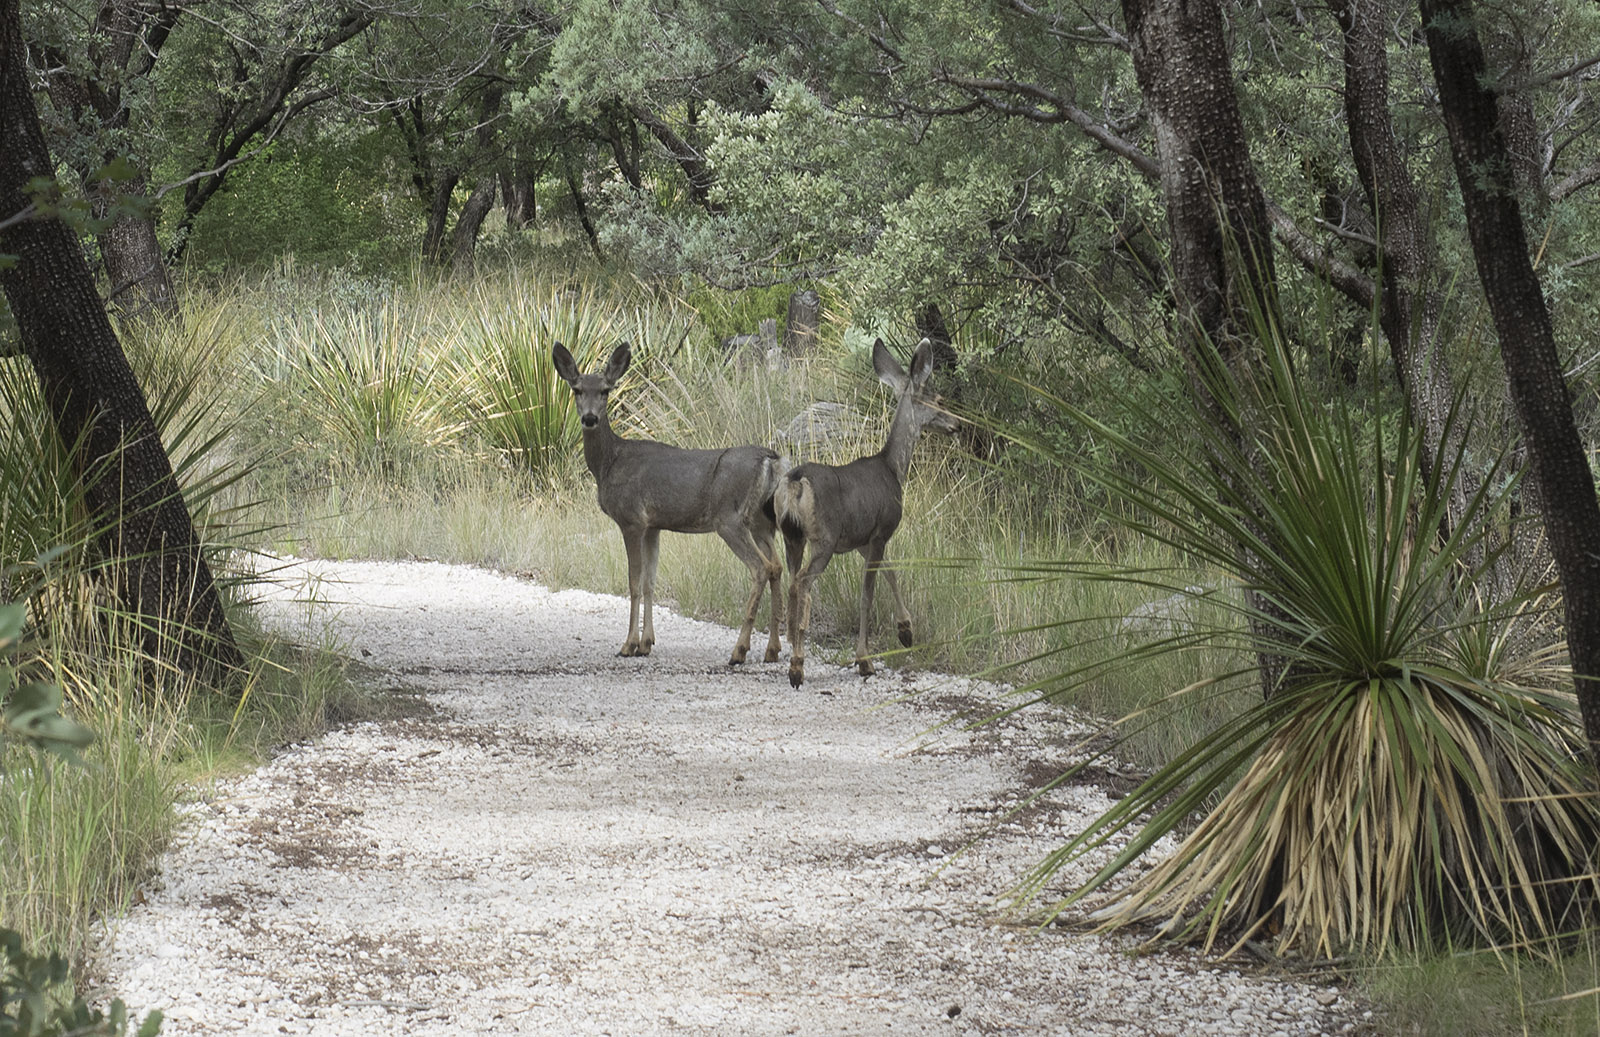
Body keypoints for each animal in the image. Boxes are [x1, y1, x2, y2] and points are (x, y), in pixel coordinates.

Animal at [553, 340, 784, 665]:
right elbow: (650, 581)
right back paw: (772, 650)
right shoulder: (653, 526)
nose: (589, 418)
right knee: (777, 566)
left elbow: (634, 582)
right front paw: (647, 643)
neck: (608, 463)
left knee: (760, 567)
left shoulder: (631, 519)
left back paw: (739, 651)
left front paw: (628, 644)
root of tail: (771, 459)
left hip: (730, 519)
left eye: (605, 391)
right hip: (762, 521)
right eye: (576, 390)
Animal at [777, 336, 953, 684]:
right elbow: (867, 597)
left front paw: (906, 631)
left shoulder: (861, 539)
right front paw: (865, 660)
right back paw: (796, 666)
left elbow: (892, 572)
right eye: (939, 400)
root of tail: (795, 480)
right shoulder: (881, 530)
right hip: (823, 538)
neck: (893, 468)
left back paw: (789, 644)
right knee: (803, 581)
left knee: (791, 580)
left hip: (792, 536)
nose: (956, 424)